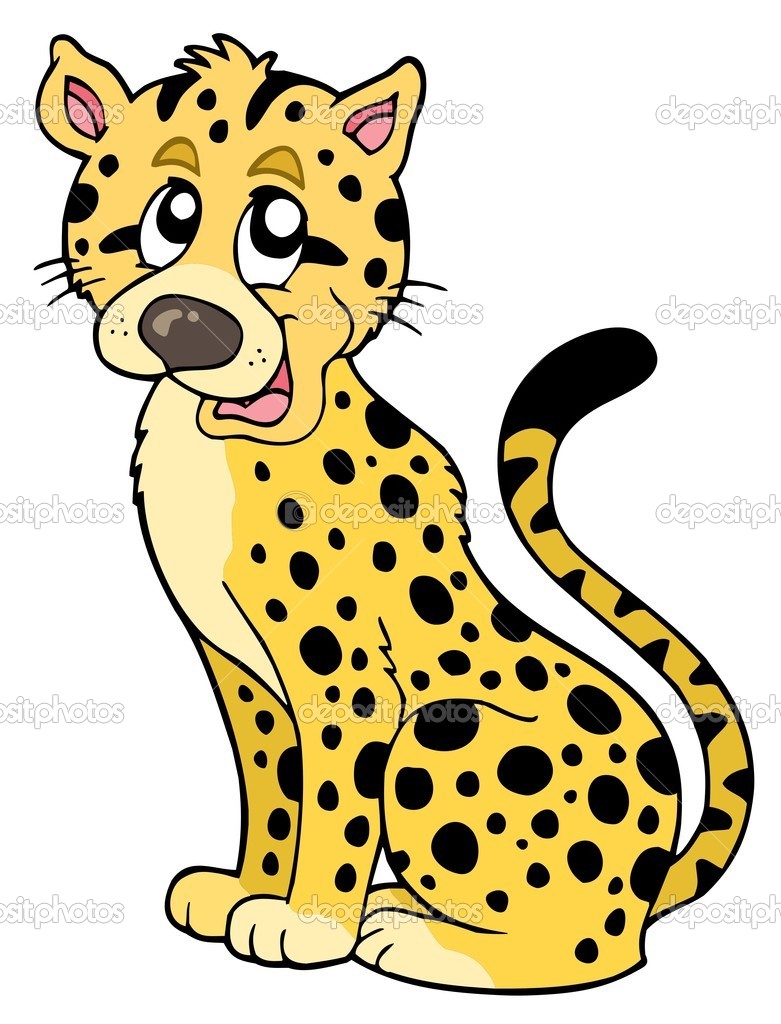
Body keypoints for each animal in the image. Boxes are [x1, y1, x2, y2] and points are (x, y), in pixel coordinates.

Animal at [36, 35, 753, 993]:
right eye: (169, 217)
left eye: (278, 232)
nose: (184, 324)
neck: (213, 438)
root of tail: (652, 879)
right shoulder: (243, 675)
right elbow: (274, 788)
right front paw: (245, 894)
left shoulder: (345, 686)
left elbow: (334, 805)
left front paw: (306, 924)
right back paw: (402, 912)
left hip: (447, 741)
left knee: (595, 949)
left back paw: (423, 942)